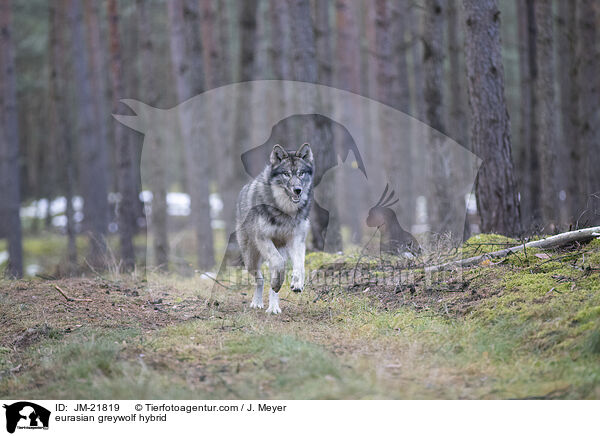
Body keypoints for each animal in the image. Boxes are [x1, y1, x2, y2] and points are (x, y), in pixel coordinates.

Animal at [237, 143, 316, 314]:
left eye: (301, 173)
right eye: (286, 174)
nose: (298, 190)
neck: (285, 210)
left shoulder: (297, 240)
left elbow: (300, 265)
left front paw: (297, 284)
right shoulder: (263, 239)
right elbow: (279, 264)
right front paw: (277, 285)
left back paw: (273, 308)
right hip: (250, 259)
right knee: (260, 279)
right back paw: (257, 302)